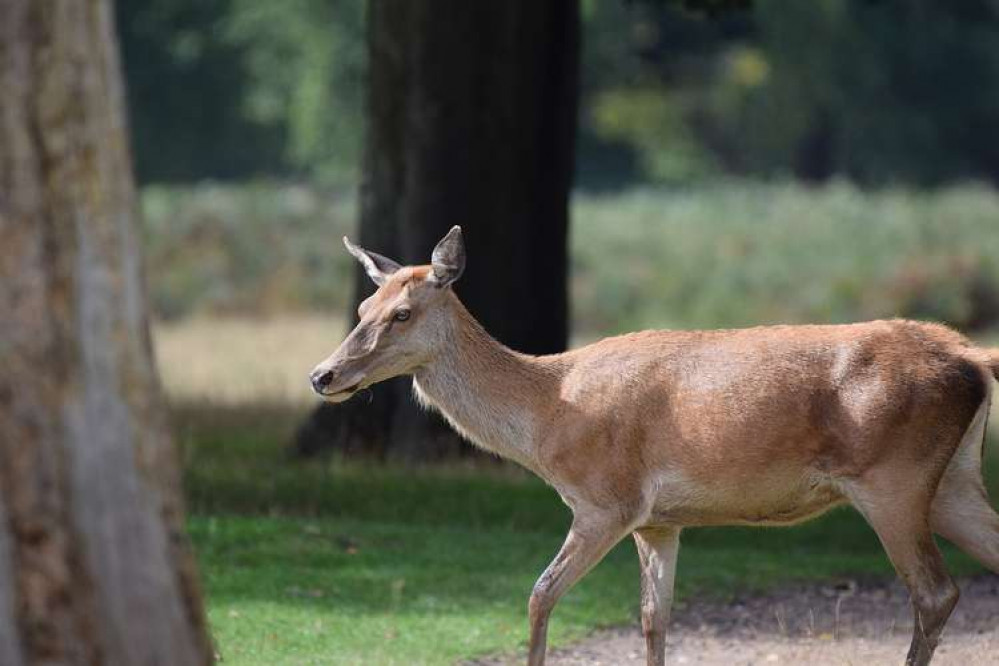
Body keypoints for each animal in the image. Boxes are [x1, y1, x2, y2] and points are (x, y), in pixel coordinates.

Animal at [308, 226, 999, 660]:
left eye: (402, 314)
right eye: (364, 305)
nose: (323, 376)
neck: (547, 415)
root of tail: (973, 357)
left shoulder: (606, 500)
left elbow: (539, 596)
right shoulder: (659, 520)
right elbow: (653, 619)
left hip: (894, 478)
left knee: (935, 592)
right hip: (954, 482)